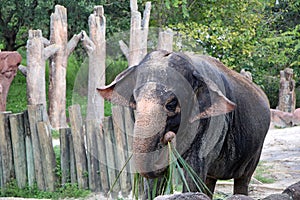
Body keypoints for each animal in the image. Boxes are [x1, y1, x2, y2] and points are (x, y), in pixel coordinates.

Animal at [97, 50, 270, 198]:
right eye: (134, 100)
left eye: (172, 104)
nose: (167, 137)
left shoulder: (211, 126)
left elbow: (193, 174)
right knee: (210, 180)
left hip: (256, 150)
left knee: (243, 178)